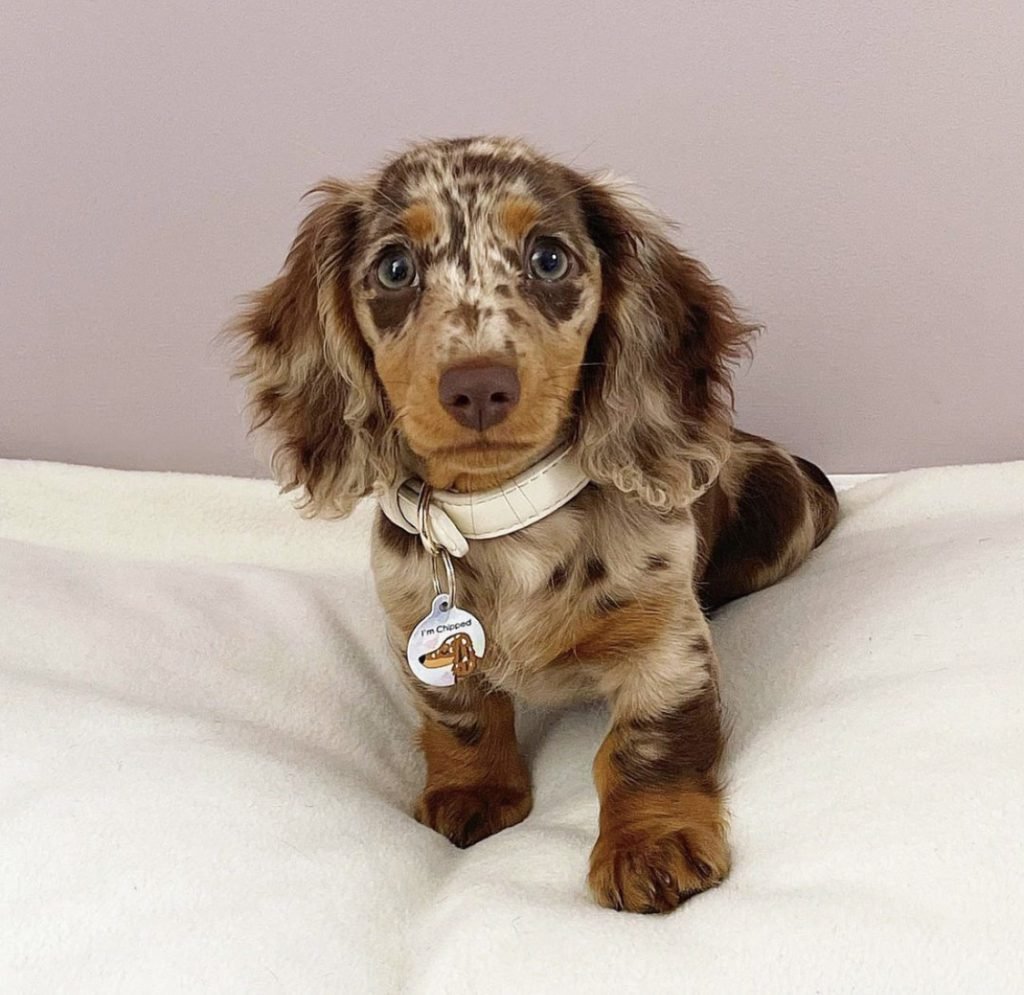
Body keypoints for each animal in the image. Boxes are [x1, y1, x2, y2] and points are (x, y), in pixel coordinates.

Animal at [234, 136, 839, 913]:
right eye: (395, 267)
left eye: (548, 257)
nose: (478, 387)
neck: (504, 513)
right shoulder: (413, 627)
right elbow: (460, 716)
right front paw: (474, 790)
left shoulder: (669, 644)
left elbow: (649, 740)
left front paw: (651, 842)